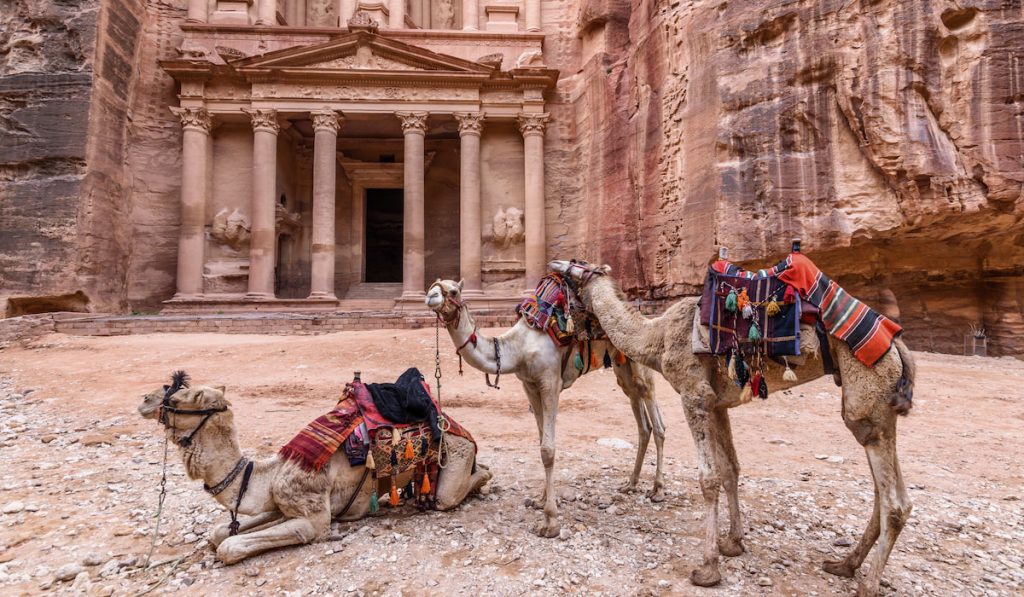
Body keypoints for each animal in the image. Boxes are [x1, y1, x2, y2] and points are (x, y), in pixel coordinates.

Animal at [137, 380, 491, 561]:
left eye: (179, 398)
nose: (143, 399)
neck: (268, 472)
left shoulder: (313, 515)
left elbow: (229, 546)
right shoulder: (282, 501)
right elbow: (220, 532)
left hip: (456, 454)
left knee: (454, 490)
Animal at [423, 278, 663, 536]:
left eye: (453, 290)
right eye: (433, 285)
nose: (430, 296)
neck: (519, 348)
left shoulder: (550, 382)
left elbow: (548, 450)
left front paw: (550, 521)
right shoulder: (529, 384)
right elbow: (541, 442)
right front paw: (540, 500)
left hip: (639, 362)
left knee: (655, 416)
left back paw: (658, 489)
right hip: (622, 367)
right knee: (642, 420)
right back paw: (631, 483)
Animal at [552, 260, 921, 597]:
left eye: (572, 274)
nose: (554, 267)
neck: (656, 337)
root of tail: (898, 348)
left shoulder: (694, 396)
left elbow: (709, 478)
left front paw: (708, 568)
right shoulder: (717, 404)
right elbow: (731, 470)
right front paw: (733, 543)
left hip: (867, 393)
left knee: (894, 501)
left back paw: (868, 585)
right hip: (879, 411)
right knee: (889, 493)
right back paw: (844, 565)